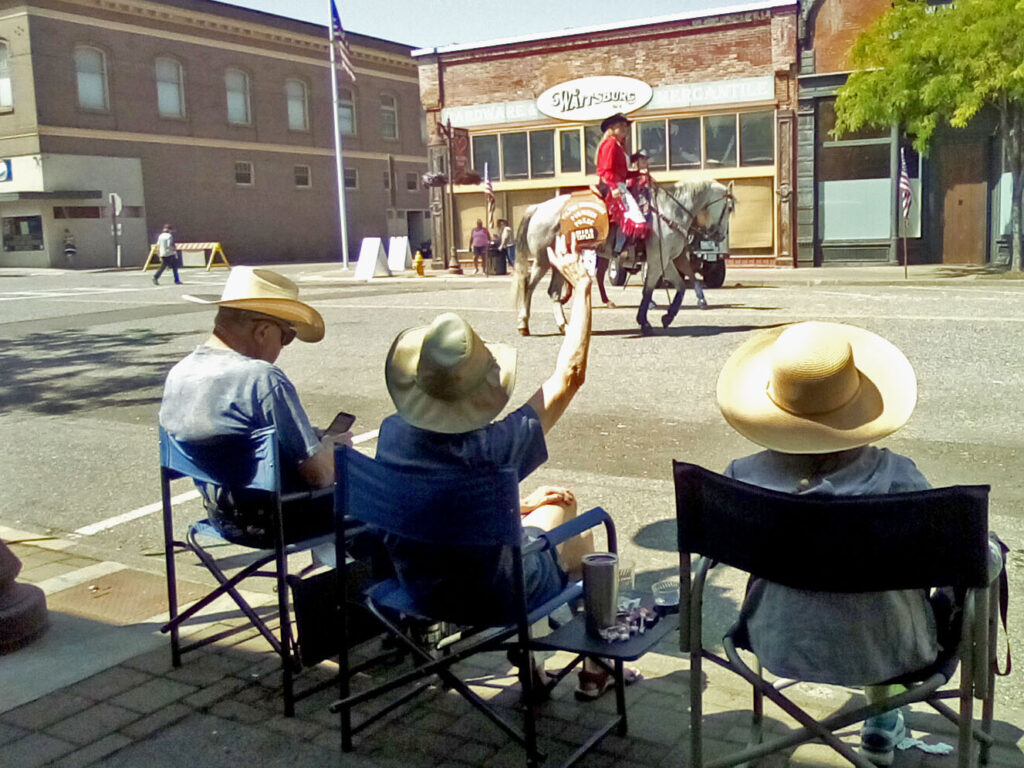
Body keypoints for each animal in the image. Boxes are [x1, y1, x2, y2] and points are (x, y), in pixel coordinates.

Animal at [516, 182, 733, 337]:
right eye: (729, 208)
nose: (720, 236)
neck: (670, 212)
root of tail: (537, 208)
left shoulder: (668, 259)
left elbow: (680, 287)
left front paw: (668, 317)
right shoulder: (657, 260)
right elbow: (648, 290)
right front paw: (645, 322)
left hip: (556, 263)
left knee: (548, 291)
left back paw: (556, 325)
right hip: (544, 261)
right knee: (532, 287)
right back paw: (528, 323)